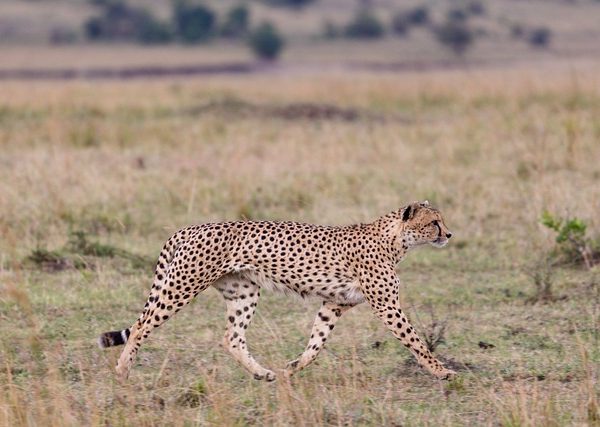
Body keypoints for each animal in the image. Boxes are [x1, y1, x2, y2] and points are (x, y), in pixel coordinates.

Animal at [99, 201, 454, 382]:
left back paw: (262, 373)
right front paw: (442, 370)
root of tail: (190, 227)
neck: (394, 240)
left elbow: (317, 342)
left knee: (231, 338)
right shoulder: (386, 305)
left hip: (243, 292)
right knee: (142, 325)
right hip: (182, 285)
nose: (449, 234)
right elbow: (416, 341)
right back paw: (123, 370)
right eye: (434, 222)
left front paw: (294, 367)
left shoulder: (334, 303)